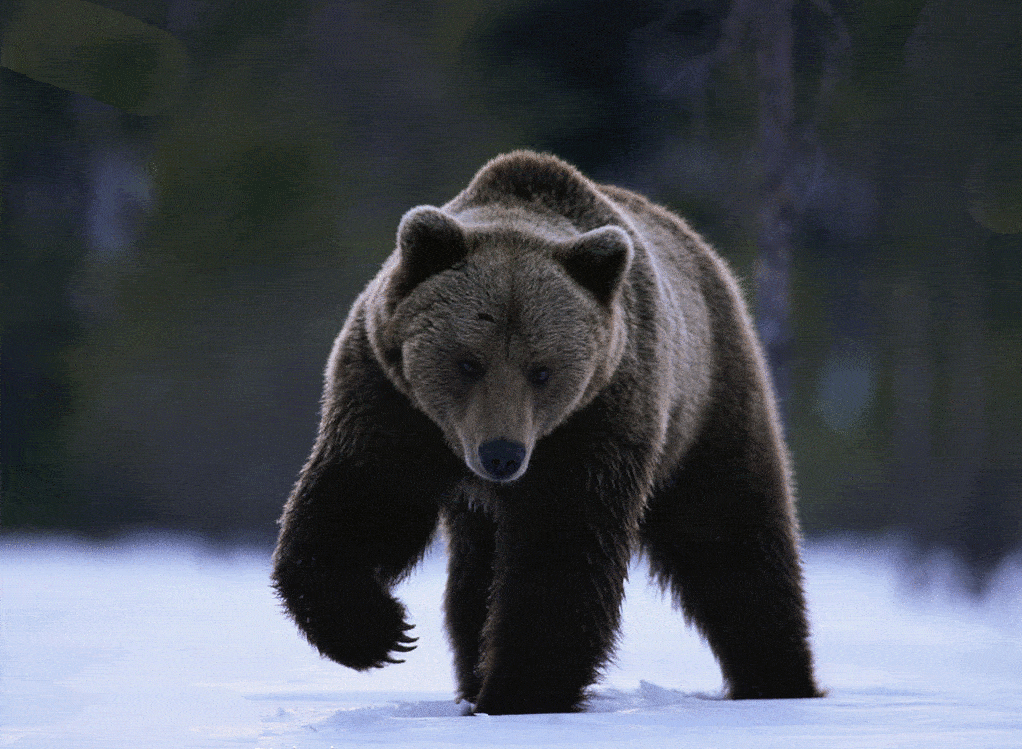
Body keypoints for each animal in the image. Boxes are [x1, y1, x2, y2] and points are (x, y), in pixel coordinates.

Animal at [271, 150, 821, 711]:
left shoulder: (597, 418)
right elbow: (362, 500)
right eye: (469, 362)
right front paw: (378, 632)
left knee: (730, 536)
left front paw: (521, 689)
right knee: (474, 579)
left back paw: (777, 680)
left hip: (706, 404)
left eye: (542, 370)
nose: (501, 454)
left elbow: (561, 549)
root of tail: (705, 252)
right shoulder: (390, 400)